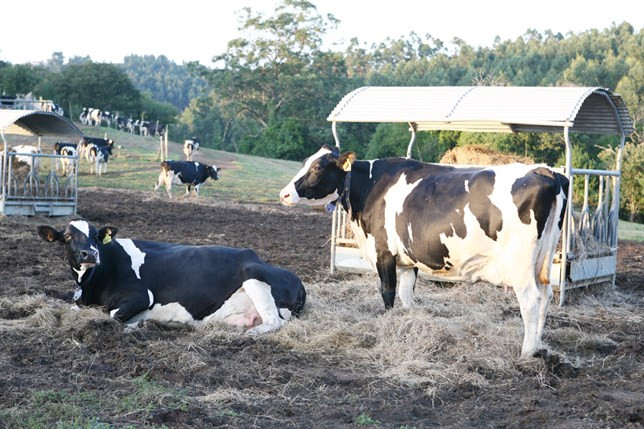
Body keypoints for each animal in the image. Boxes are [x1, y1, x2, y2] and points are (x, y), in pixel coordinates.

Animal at [37, 219, 306, 332]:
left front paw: (139, 324)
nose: (91, 253)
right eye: (68, 236)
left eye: (95, 236)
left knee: (275, 322)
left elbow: (112, 315)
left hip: (255, 278)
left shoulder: (140, 296)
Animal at [280, 145, 568, 356]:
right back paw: (539, 345)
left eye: (317, 167)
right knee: (545, 297)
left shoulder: (384, 253)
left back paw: (526, 352)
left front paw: (389, 325)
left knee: (530, 301)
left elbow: (388, 293)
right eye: (305, 161)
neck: (370, 187)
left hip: (520, 264)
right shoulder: (409, 261)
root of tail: (545, 171)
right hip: (543, 260)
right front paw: (407, 324)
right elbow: (407, 296)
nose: (284, 194)